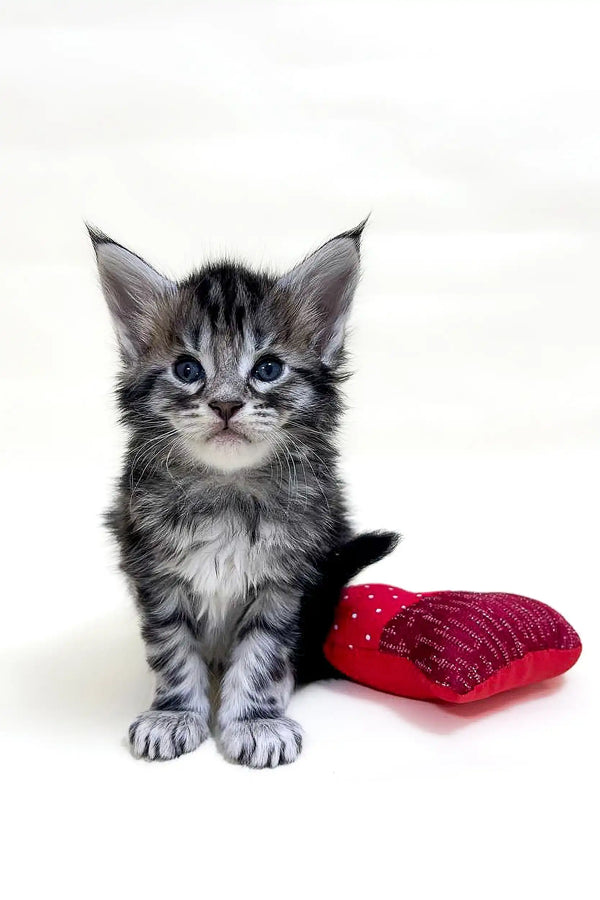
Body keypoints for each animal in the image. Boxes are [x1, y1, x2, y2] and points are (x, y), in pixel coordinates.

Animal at [90, 223, 398, 768]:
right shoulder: (154, 573)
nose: (227, 404)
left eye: (268, 368)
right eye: (188, 370)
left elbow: (262, 653)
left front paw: (256, 720)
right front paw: (173, 715)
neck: (228, 490)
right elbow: (172, 649)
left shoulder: (285, 580)